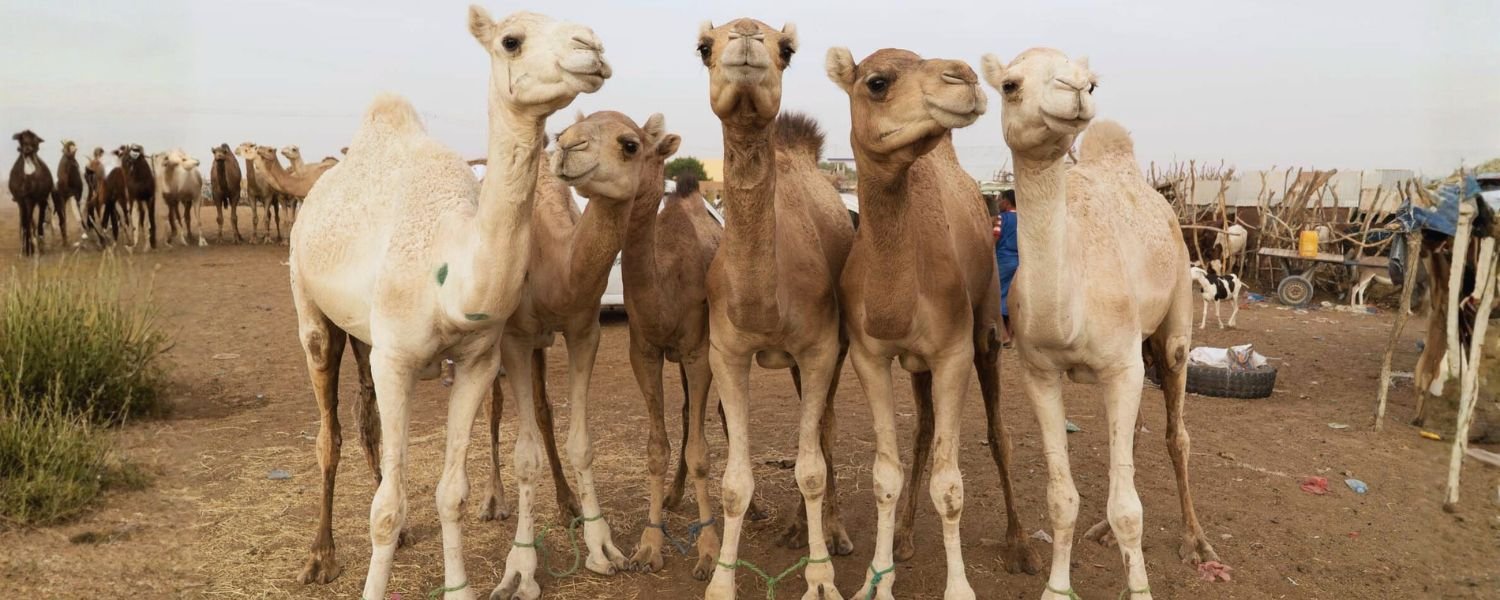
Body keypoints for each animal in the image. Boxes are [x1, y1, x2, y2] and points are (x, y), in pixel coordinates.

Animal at [286, 8, 608, 599]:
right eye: (511, 40)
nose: (591, 47)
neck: (449, 273)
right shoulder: (396, 360)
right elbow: (384, 508)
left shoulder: (478, 358)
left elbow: (450, 492)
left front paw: (457, 586)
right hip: (309, 304)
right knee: (328, 433)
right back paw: (321, 556)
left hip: (364, 334)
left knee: (367, 422)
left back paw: (402, 534)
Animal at [696, 19, 856, 600]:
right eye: (704, 47)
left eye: (786, 48)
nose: (746, 36)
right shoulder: (726, 353)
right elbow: (734, 481)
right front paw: (721, 583)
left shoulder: (820, 349)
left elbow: (810, 468)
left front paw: (822, 580)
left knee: (827, 428)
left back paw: (834, 533)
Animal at [826, 46, 1041, 600]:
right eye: (877, 82)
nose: (962, 77)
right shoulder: (870, 356)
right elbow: (885, 474)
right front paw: (875, 581)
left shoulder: (952, 354)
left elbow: (951, 483)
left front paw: (959, 588)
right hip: (917, 364)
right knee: (922, 431)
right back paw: (903, 537)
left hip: (987, 330)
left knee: (999, 434)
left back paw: (1021, 546)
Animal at [980, 48, 1218, 599]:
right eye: (1009, 85)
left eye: (1091, 80)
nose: (1076, 90)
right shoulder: (1039, 373)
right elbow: (1062, 498)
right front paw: (1056, 588)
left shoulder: (1122, 366)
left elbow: (1131, 507)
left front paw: (1140, 588)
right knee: (1132, 440)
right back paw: (1105, 533)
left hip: (1175, 315)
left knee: (1177, 434)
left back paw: (1195, 542)